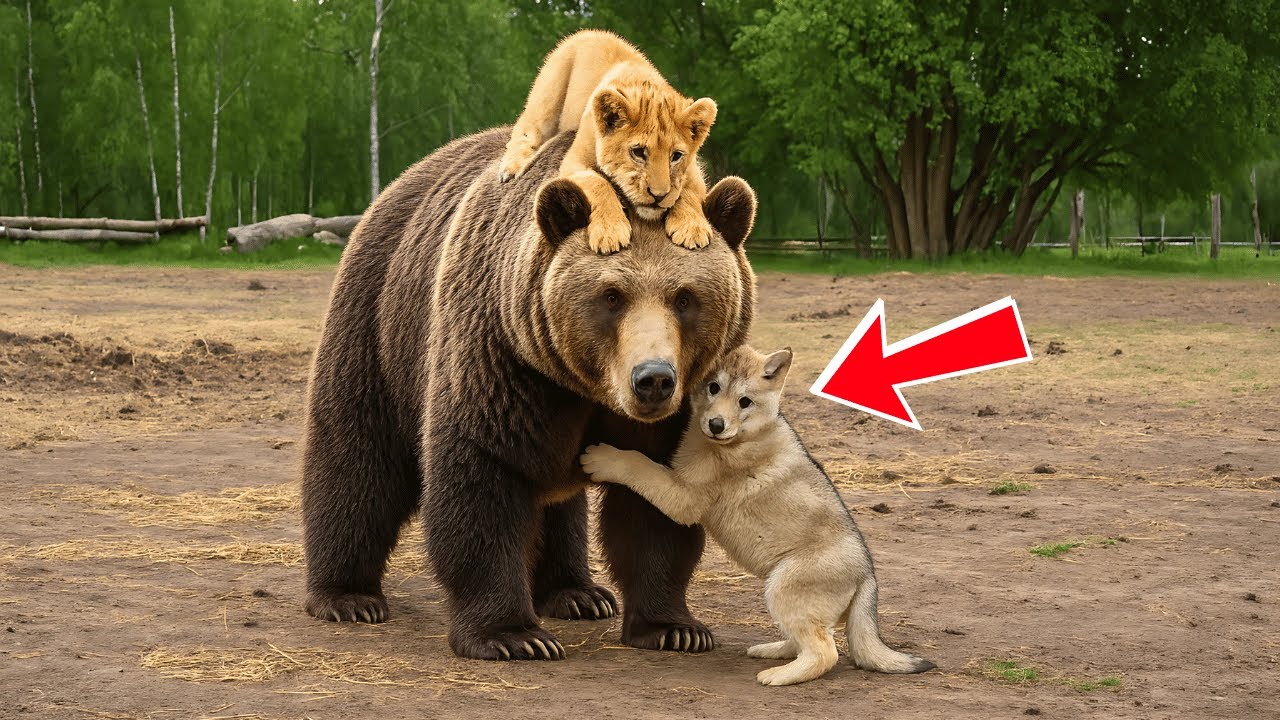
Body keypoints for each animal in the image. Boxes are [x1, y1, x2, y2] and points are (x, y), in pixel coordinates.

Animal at [301, 126, 757, 660]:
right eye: (611, 296)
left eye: (685, 297)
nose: (653, 379)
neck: (586, 388)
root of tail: (395, 186)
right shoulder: (503, 365)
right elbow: (482, 484)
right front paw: (513, 636)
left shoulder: (678, 413)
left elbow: (656, 505)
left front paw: (674, 627)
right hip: (378, 323)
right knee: (358, 457)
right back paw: (347, 596)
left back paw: (577, 593)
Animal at [497, 30, 718, 254]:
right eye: (638, 152)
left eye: (676, 156)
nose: (658, 196)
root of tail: (589, 32)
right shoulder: (574, 161)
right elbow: (598, 183)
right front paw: (610, 232)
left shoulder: (694, 171)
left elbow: (689, 192)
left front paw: (692, 228)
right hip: (547, 97)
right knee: (525, 130)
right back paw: (510, 169)